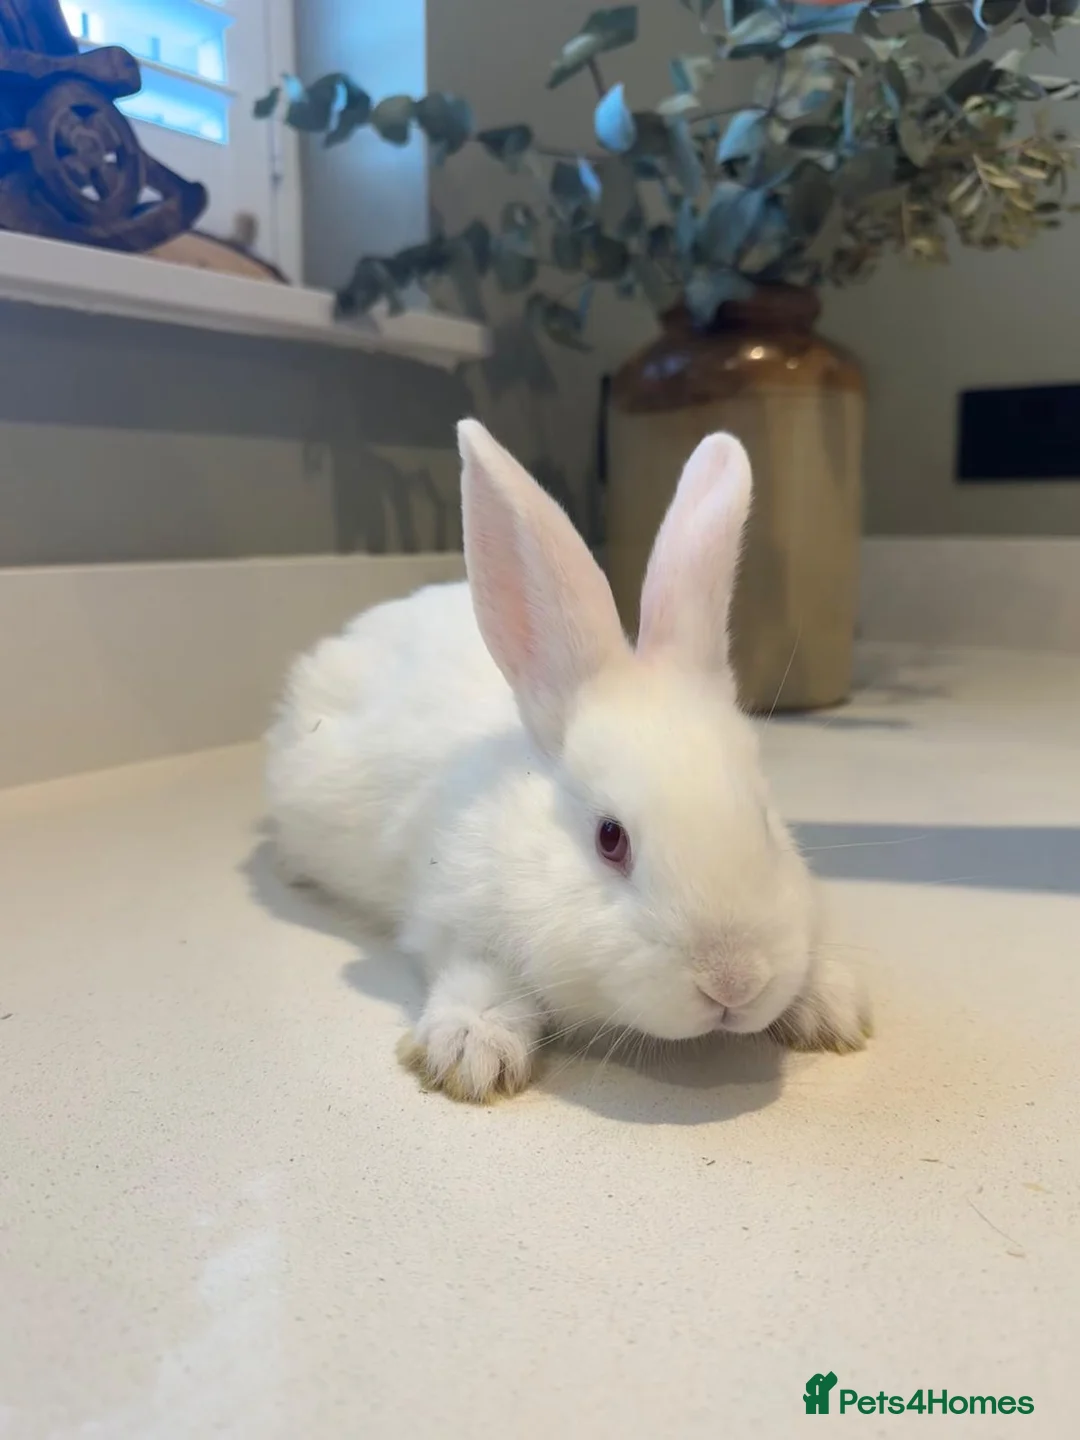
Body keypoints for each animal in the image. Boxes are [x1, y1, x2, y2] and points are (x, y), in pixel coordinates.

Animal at [265, 419, 871, 1103]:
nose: (732, 984)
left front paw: (832, 1005)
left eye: (766, 824)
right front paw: (473, 1051)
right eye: (610, 839)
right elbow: (478, 977)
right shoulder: (454, 918)